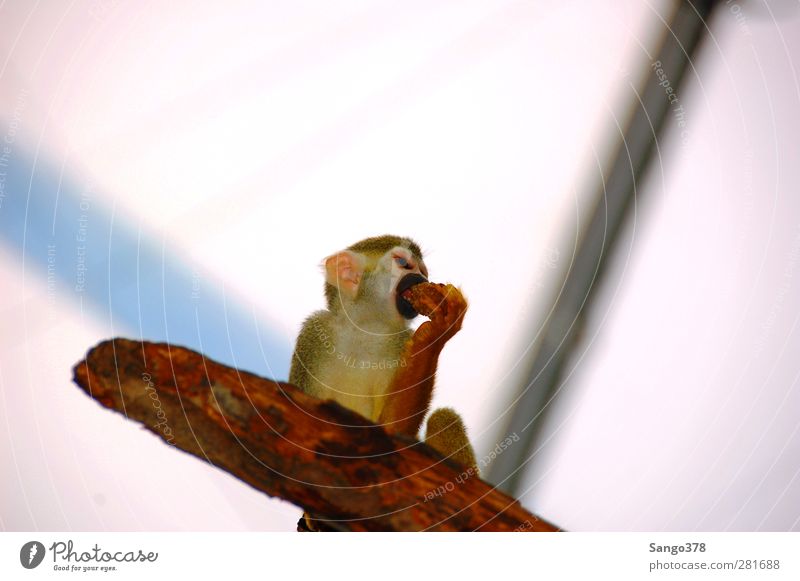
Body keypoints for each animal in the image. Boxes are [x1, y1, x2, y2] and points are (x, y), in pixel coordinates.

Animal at [290, 233, 478, 524]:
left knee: (443, 418)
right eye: (403, 264)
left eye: (423, 272)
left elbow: (391, 434)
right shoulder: (313, 334)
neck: (365, 330)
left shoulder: (398, 345)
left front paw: (435, 333)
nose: (419, 279)